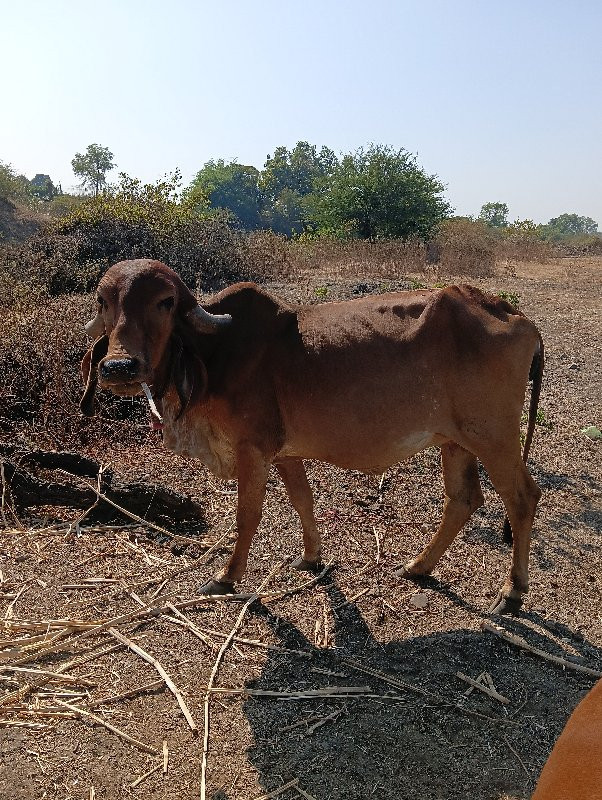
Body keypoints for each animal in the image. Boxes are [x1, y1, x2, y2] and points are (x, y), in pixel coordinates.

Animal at [79, 258, 544, 612]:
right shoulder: (285, 454)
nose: (118, 367)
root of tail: (514, 314)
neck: (215, 354)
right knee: (464, 500)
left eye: (165, 302)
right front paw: (311, 557)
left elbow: (248, 516)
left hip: (495, 438)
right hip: (456, 442)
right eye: (104, 301)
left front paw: (227, 577)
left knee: (522, 497)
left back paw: (512, 591)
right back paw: (418, 566)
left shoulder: (252, 450)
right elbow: (303, 501)